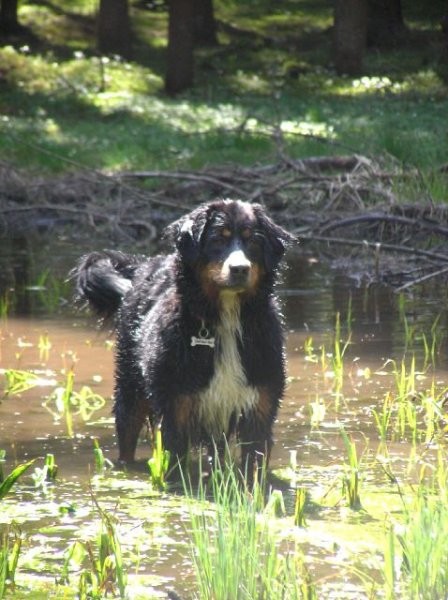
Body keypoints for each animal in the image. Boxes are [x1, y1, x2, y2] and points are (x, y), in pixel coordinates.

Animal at [74, 199, 294, 476]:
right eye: (217, 239)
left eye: (252, 241)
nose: (239, 269)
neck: (227, 320)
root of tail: (146, 264)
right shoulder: (176, 405)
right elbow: (175, 461)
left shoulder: (260, 406)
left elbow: (253, 467)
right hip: (130, 389)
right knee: (127, 435)